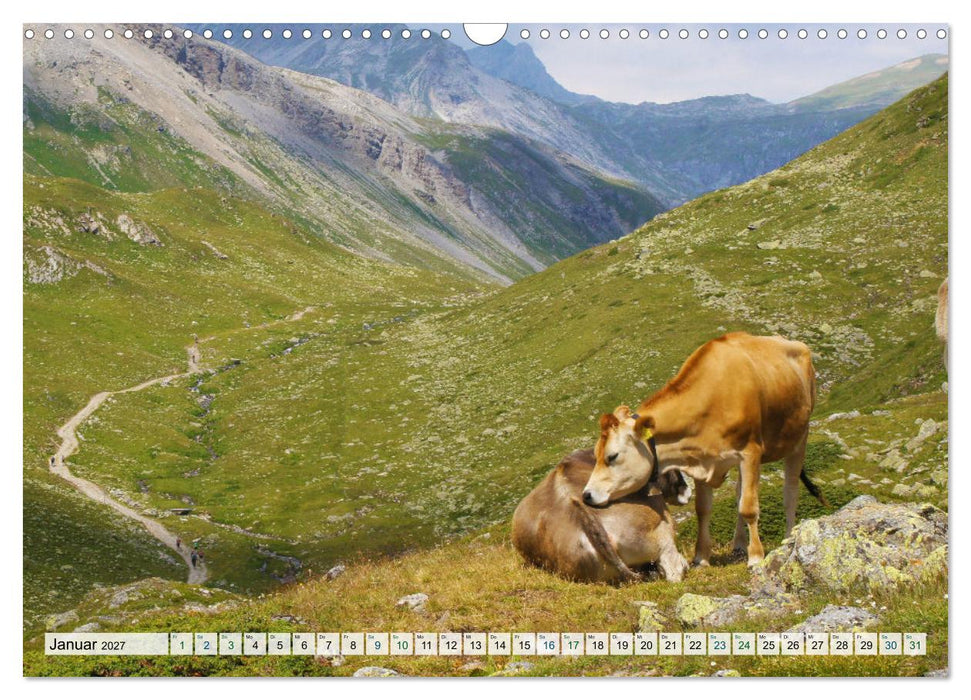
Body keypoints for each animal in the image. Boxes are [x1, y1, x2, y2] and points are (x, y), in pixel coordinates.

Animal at [583, 332, 827, 568]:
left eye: (612, 456)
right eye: (595, 455)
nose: (586, 495)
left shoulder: (750, 453)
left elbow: (749, 507)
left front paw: (756, 557)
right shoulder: (700, 460)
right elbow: (704, 509)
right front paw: (701, 557)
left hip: (799, 438)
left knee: (790, 491)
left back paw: (787, 537)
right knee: (739, 492)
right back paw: (738, 544)